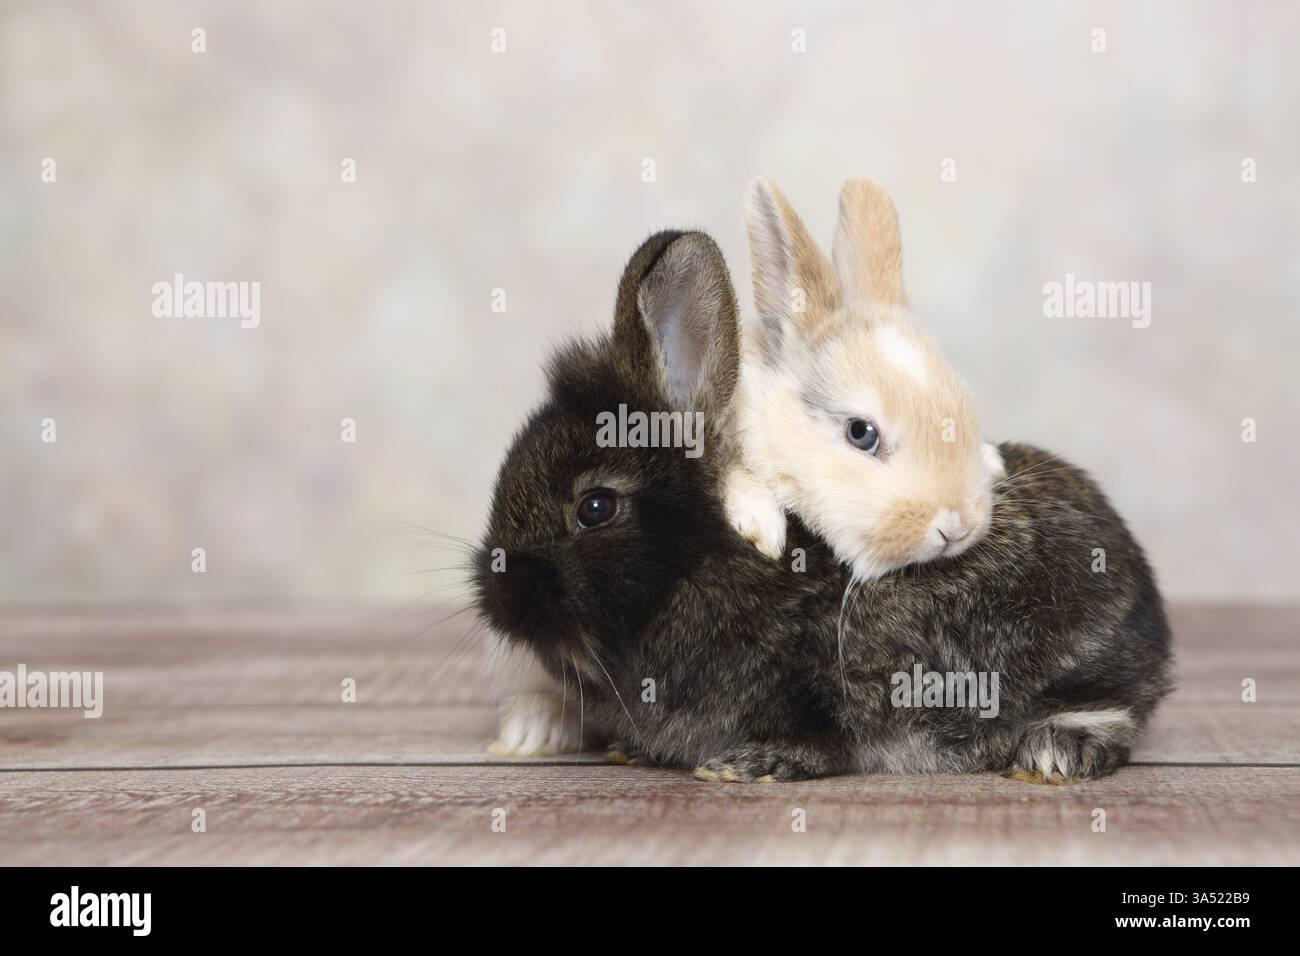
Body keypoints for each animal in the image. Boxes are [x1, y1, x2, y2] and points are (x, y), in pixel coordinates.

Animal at [474, 227, 1172, 783]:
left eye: (595, 507)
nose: (495, 593)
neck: (690, 567)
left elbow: (828, 730)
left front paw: (751, 765)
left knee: (1118, 705)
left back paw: (1056, 751)